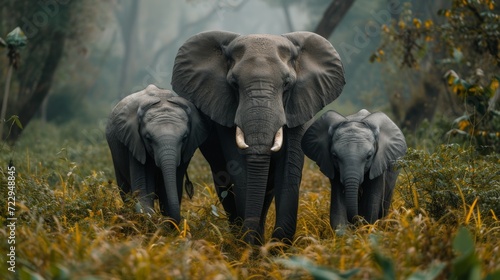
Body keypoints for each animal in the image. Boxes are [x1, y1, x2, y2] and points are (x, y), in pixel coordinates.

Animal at [104, 83, 208, 223]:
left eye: (185, 138)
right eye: (148, 138)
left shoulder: (186, 152)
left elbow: (170, 191)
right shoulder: (135, 144)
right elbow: (144, 190)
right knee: (125, 191)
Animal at [171, 31, 344, 245]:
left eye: (287, 84)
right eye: (234, 84)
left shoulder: (298, 106)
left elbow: (289, 170)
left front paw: (276, 247)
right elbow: (239, 169)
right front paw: (251, 246)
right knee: (223, 182)